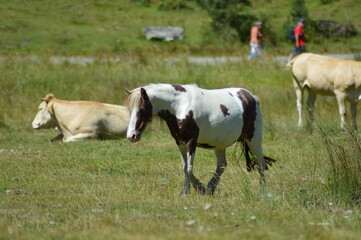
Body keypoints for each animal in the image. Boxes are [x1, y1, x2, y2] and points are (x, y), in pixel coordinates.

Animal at [125, 83, 274, 195]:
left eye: (142, 109)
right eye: (129, 110)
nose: (131, 136)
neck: (180, 106)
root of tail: (251, 97)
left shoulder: (191, 142)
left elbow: (189, 168)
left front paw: (186, 192)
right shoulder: (180, 142)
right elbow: (185, 167)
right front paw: (199, 188)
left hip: (254, 139)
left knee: (261, 164)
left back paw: (262, 191)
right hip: (220, 145)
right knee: (222, 165)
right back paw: (210, 188)